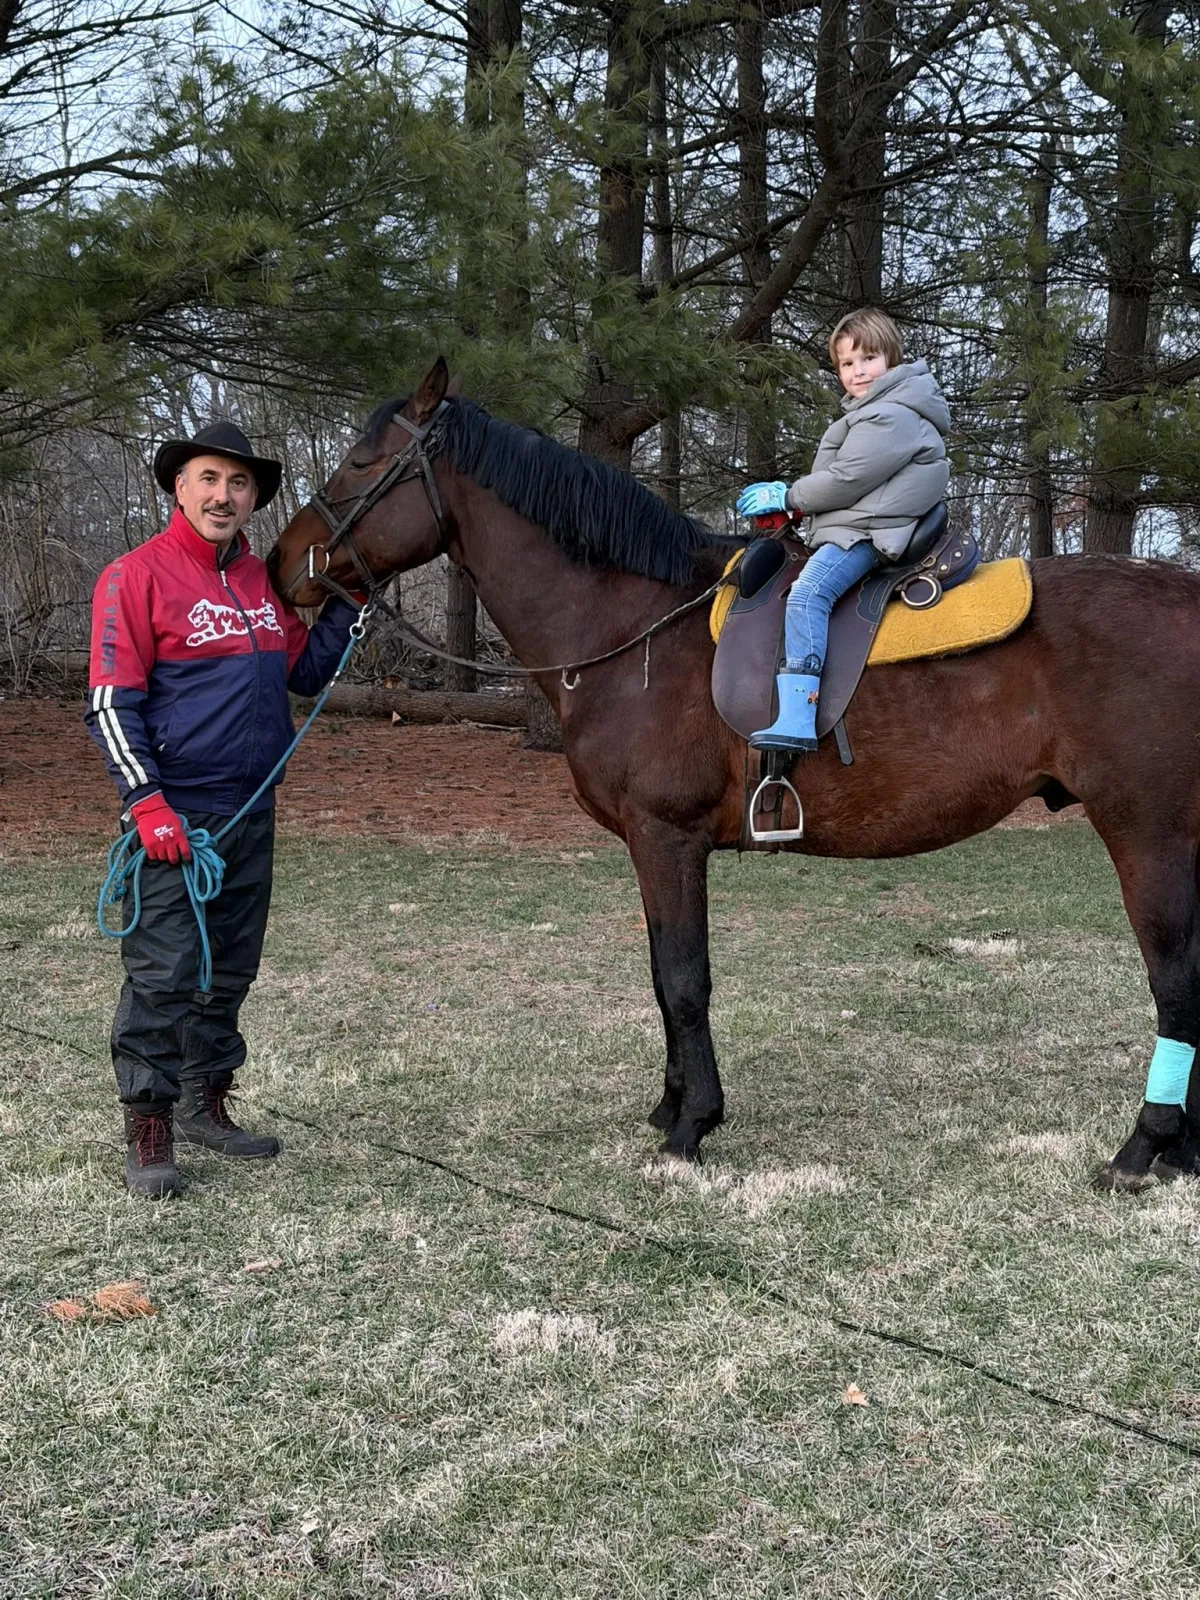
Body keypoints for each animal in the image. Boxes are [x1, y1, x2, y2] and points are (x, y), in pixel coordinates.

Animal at [267, 357, 1200, 1191]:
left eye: (361, 462)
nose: (282, 565)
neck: (635, 626)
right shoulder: (651, 848)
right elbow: (660, 976)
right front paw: (670, 1105)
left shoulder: (666, 838)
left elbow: (685, 982)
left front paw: (692, 1127)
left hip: (1147, 835)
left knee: (1176, 984)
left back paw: (1143, 1149)